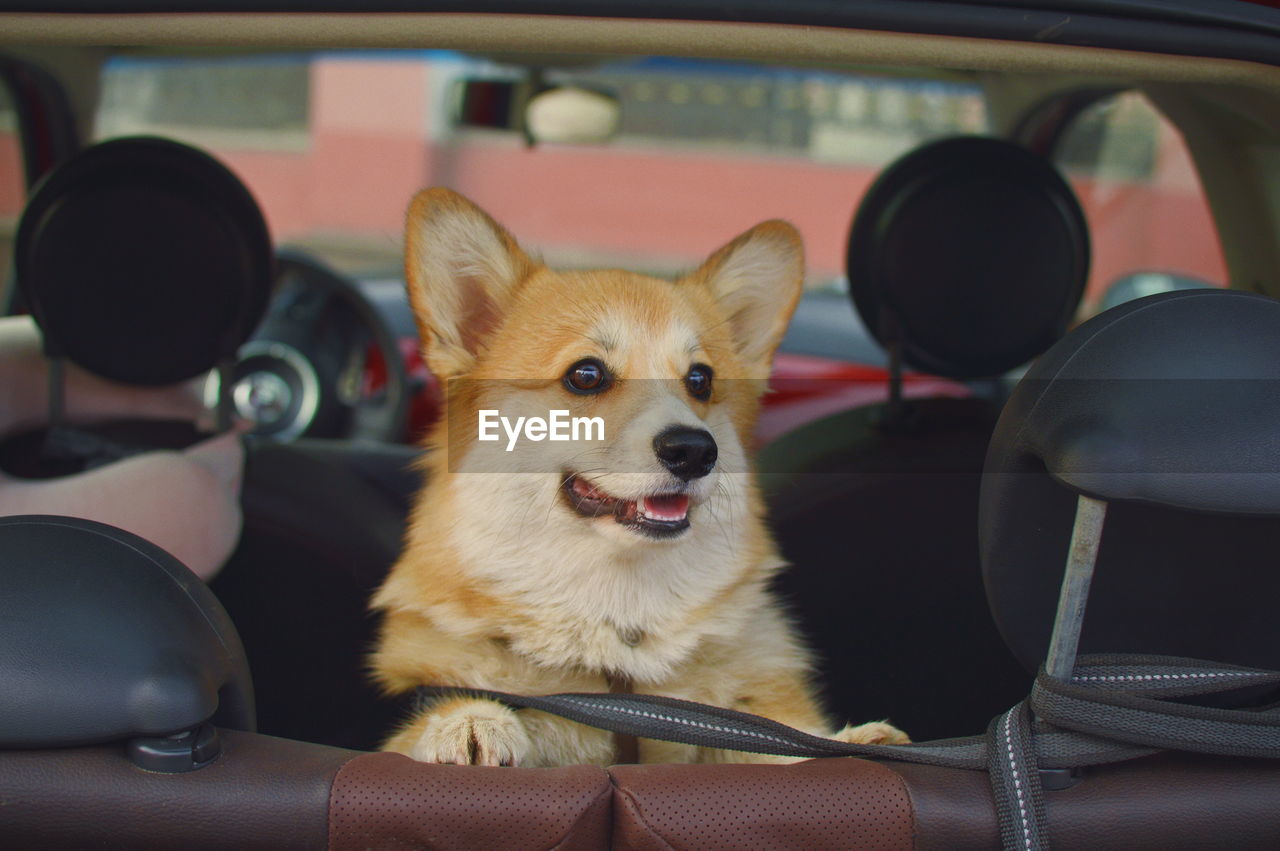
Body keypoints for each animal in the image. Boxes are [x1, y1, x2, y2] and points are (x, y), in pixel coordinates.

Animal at [371, 189, 911, 767]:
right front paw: (469, 721)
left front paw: (850, 743)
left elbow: (779, 741)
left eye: (700, 380)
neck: (620, 658)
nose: (694, 451)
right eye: (586, 375)